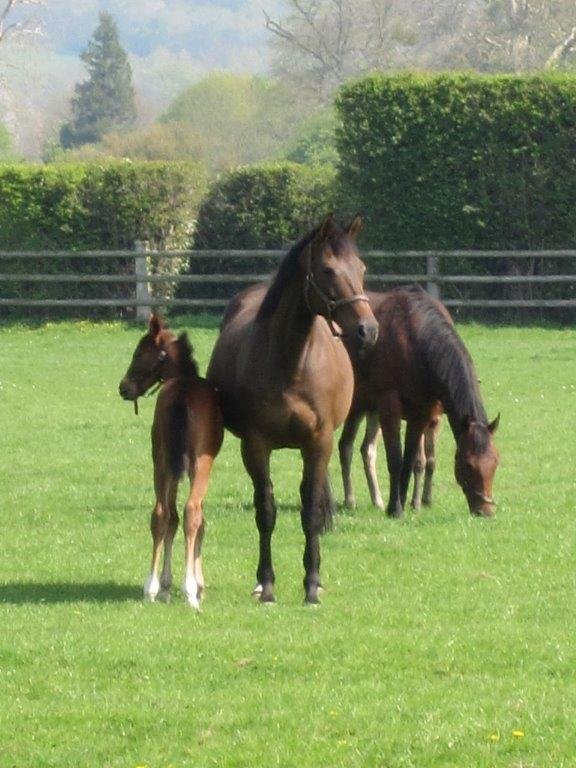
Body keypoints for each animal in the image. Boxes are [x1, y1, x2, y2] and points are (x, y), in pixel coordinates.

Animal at [119, 313, 223, 608]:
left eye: (138, 353)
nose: (123, 387)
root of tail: (181, 395)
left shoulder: (174, 466)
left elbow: (171, 518)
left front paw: (165, 585)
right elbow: (198, 520)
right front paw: (198, 585)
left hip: (162, 460)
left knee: (161, 513)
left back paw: (151, 588)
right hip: (200, 463)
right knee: (192, 513)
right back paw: (190, 592)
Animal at [207, 214, 379, 604]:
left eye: (361, 267)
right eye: (328, 270)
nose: (368, 329)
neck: (292, 361)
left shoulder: (318, 443)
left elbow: (310, 512)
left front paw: (312, 584)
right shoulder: (255, 446)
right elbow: (265, 511)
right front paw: (267, 583)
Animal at [338, 286, 499, 518]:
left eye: (495, 462)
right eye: (467, 464)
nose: (485, 510)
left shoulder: (423, 413)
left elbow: (412, 460)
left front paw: (405, 501)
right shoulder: (390, 406)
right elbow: (396, 459)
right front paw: (395, 507)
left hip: (370, 410)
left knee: (366, 450)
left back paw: (377, 500)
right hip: (355, 407)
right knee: (345, 447)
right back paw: (349, 499)